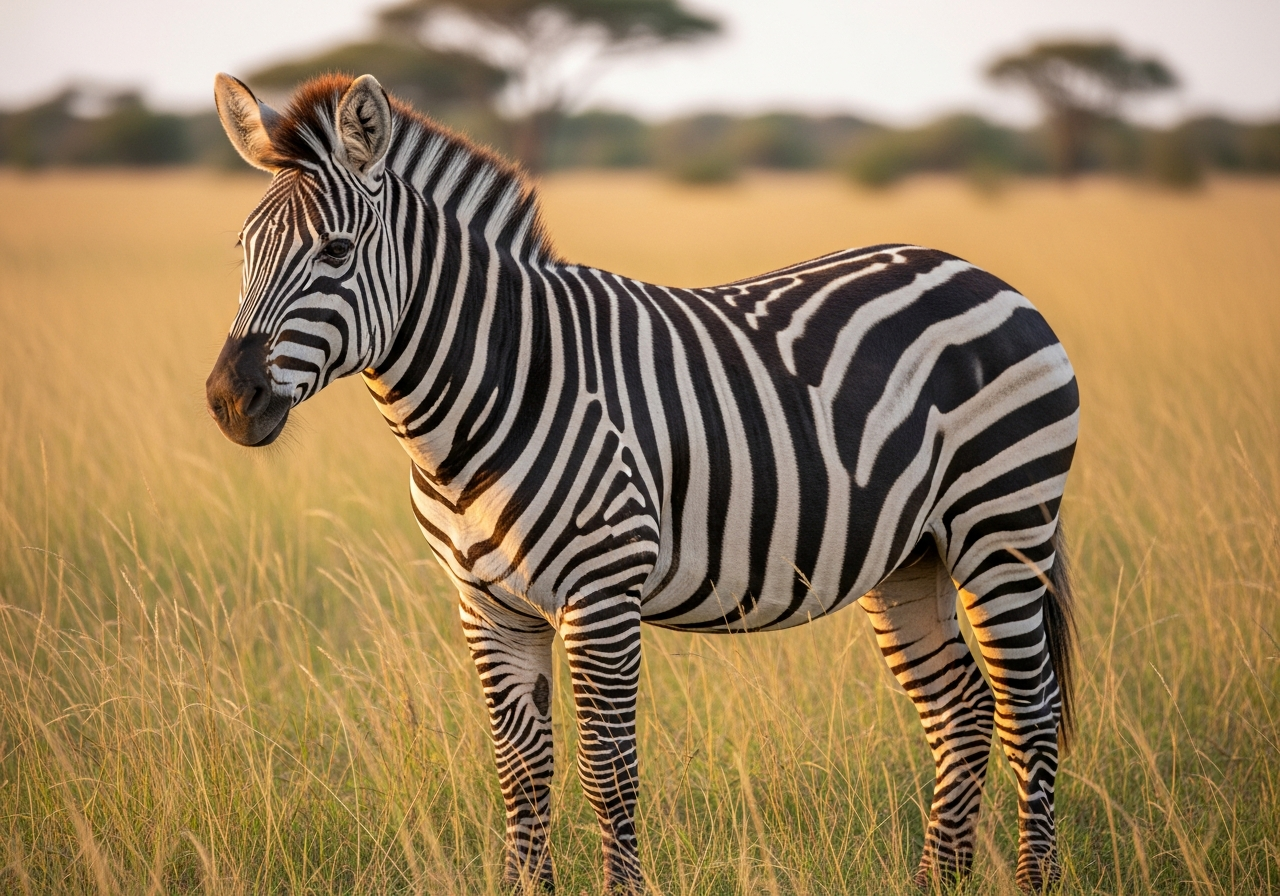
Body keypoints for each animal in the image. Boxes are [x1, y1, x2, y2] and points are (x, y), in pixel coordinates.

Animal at [205, 72, 1079, 893]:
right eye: (240, 252)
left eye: (335, 253)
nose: (227, 400)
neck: (491, 393)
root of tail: (982, 275)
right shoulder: (486, 605)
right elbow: (522, 776)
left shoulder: (601, 593)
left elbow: (607, 773)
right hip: (912, 556)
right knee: (963, 709)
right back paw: (938, 880)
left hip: (1003, 527)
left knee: (1029, 711)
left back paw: (1034, 878)